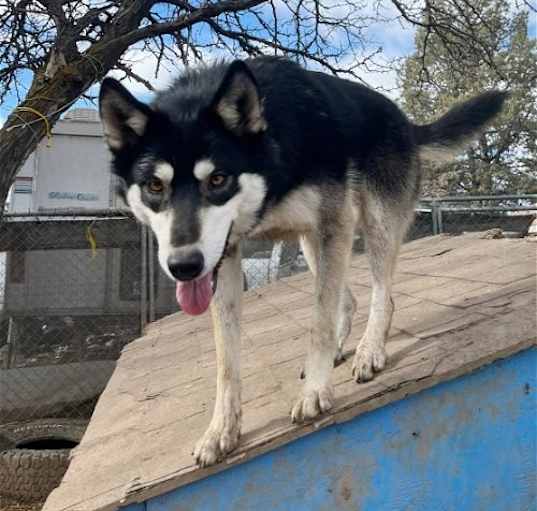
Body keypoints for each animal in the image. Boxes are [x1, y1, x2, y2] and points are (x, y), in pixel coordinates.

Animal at [98, 57, 504, 468]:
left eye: (218, 179)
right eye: (155, 186)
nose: (184, 266)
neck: (272, 151)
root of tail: (404, 119)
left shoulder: (334, 225)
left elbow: (318, 323)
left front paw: (315, 393)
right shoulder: (228, 257)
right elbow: (227, 360)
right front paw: (221, 429)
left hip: (373, 224)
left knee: (382, 296)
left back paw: (370, 350)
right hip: (312, 244)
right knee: (349, 300)